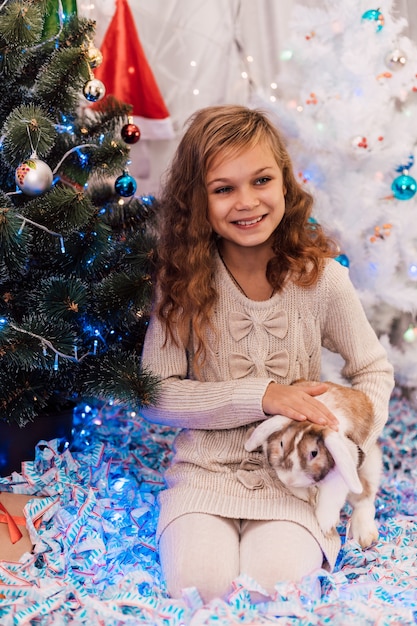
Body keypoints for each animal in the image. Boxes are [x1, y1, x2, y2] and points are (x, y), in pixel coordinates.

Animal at [245, 376, 382, 544]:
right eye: (282, 443)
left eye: (314, 453)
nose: (290, 479)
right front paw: (305, 495)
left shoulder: (342, 470)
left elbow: (331, 497)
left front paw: (326, 525)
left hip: (371, 467)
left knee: (365, 500)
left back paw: (365, 537)